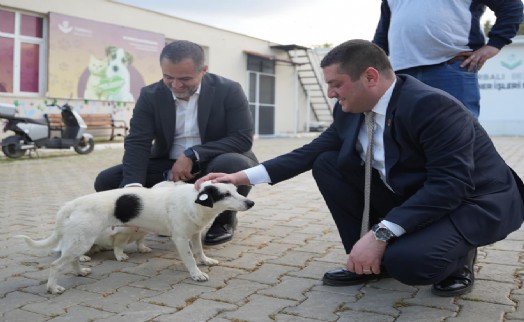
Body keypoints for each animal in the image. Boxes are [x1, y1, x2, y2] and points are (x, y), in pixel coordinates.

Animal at [16, 181, 254, 294]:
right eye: (225, 195)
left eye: (236, 190)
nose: (250, 203)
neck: (194, 202)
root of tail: (71, 204)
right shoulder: (180, 238)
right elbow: (190, 259)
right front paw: (196, 274)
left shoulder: (194, 233)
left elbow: (199, 252)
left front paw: (205, 261)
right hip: (81, 240)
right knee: (56, 265)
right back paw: (52, 288)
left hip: (80, 239)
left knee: (72, 259)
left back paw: (79, 271)